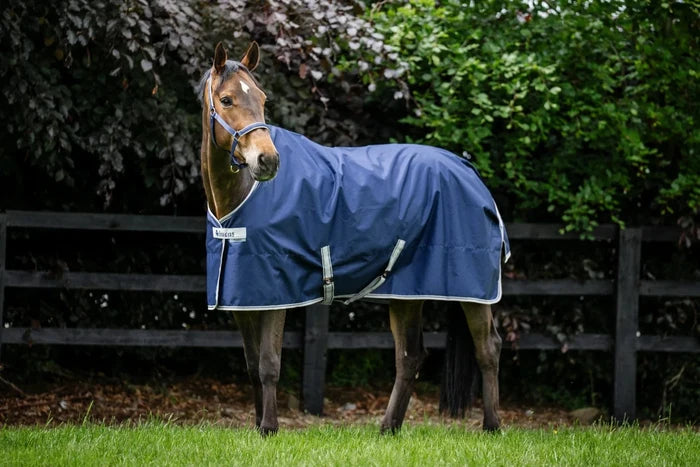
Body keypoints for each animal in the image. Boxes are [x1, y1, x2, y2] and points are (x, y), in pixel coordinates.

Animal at [198, 41, 509, 435]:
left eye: (263, 98)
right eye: (226, 100)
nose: (267, 161)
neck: (240, 198)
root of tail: (470, 172)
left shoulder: (277, 293)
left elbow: (269, 364)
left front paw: (269, 428)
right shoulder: (242, 298)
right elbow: (253, 365)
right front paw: (257, 427)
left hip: (473, 292)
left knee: (488, 348)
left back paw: (491, 426)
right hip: (406, 293)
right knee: (410, 356)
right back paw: (388, 428)